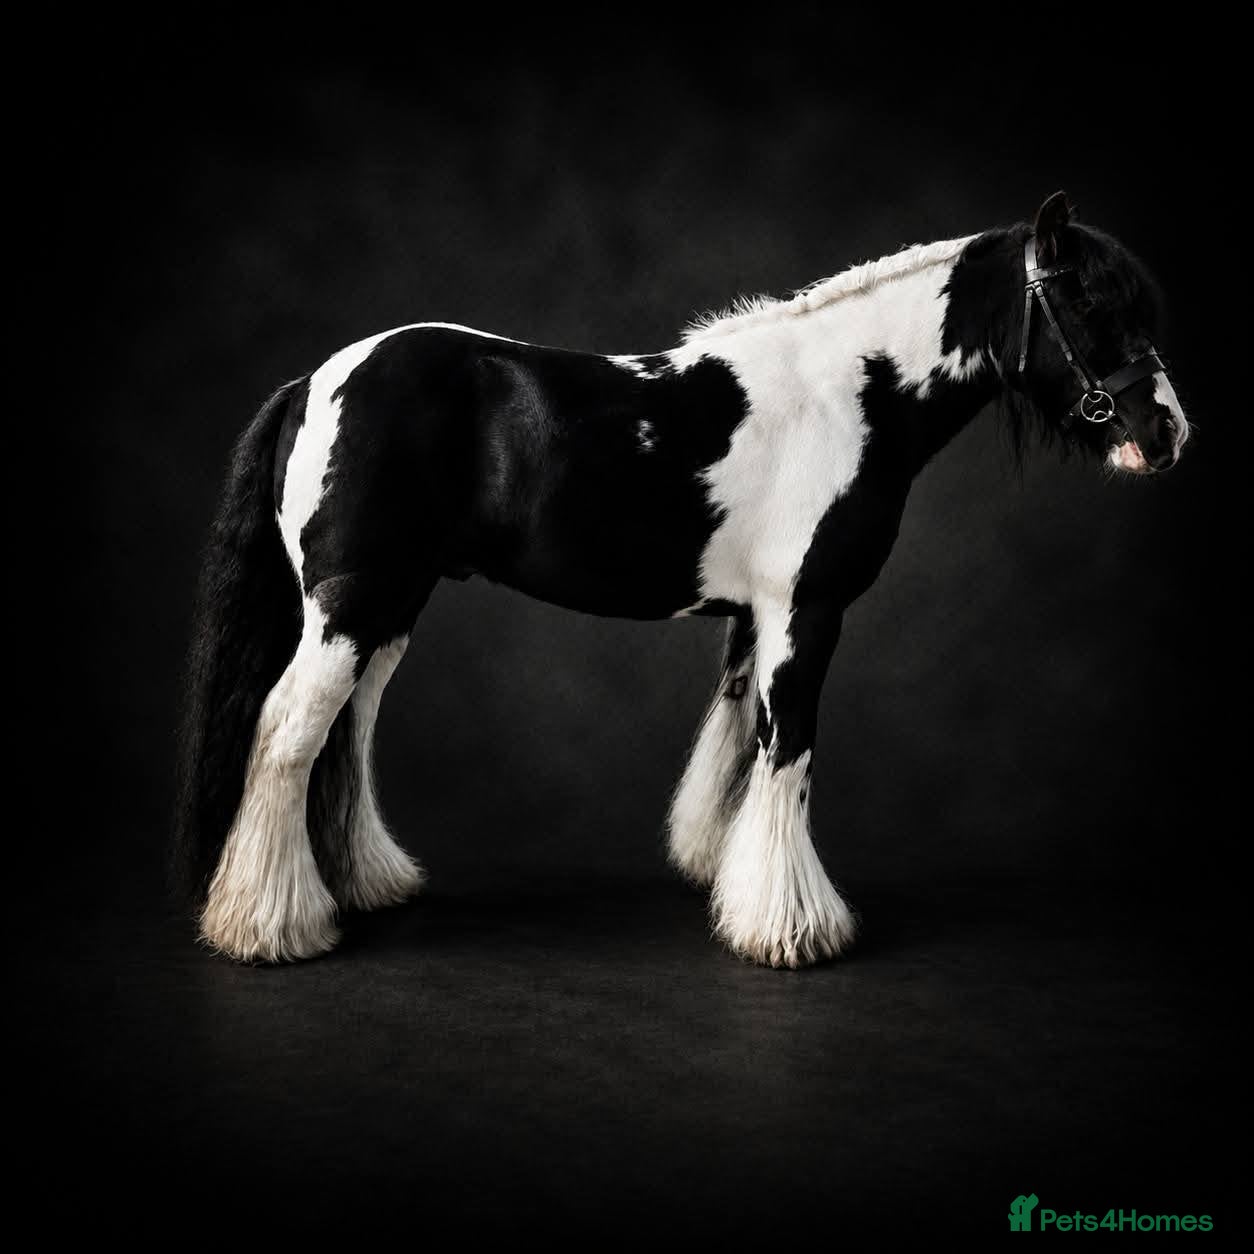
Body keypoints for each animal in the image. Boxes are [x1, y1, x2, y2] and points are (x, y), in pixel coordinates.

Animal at [173, 191, 1188, 968]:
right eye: (1089, 302)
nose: (1168, 432)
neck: (848, 395)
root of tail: (314, 382)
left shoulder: (756, 618)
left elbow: (737, 743)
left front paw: (725, 875)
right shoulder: (806, 612)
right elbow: (788, 751)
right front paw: (793, 930)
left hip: (387, 609)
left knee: (345, 732)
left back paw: (364, 885)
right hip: (349, 607)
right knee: (287, 732)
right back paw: (270, 928)